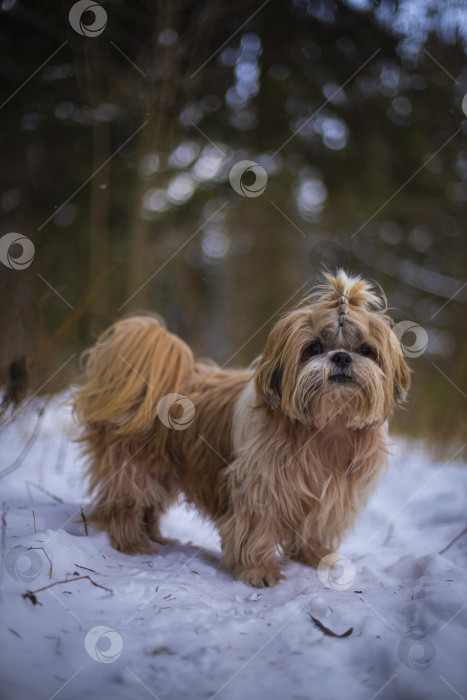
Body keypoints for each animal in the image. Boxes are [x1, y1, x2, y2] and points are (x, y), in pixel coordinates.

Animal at [73, 270, 410, 588]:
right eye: (314, 347)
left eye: (366, 350)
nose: (341, 356)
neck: (327, 426)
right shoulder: (261, 486)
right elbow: (256, 529)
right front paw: (259, 571)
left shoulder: (334, 495)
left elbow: (316, 528)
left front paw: (314, 557)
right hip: (134, 464)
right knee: (125, 504)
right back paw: (132, 543)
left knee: (148, 505)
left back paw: (156, 537)